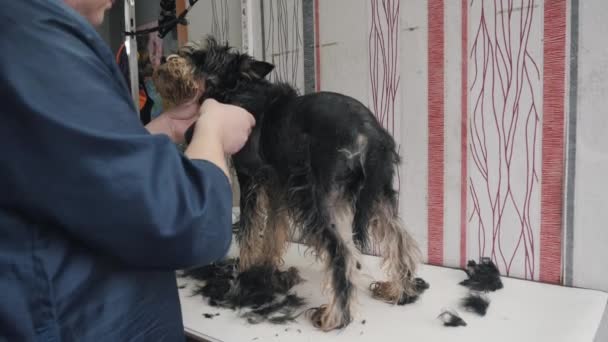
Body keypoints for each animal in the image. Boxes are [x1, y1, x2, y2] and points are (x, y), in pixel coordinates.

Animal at [180, 37, 422, 332]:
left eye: (205, 56)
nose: (181, 55)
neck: (239, 88)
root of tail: (369, 132)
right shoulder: (277, 186)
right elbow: (273, 229)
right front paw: (267, 265)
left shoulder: (249, 179)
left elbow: (248, 230)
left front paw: (246, 268)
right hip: (378, 194)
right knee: (399, 237)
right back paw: (399, 290)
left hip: (322, 200)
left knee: (342, 253)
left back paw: (334, 318)